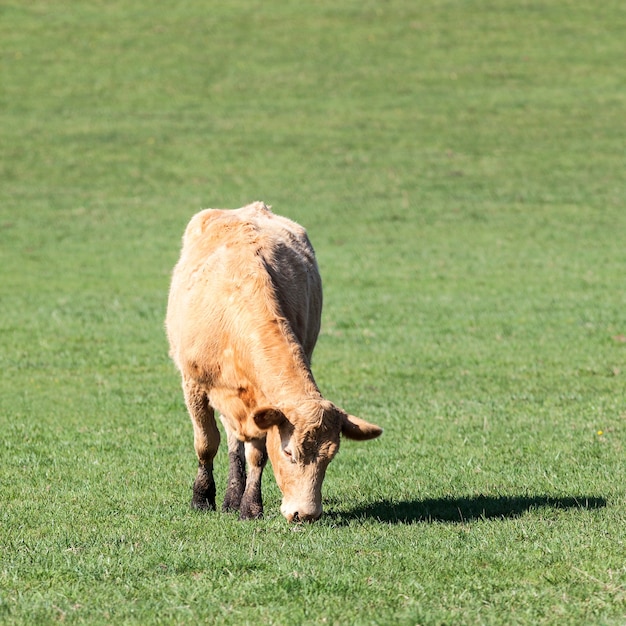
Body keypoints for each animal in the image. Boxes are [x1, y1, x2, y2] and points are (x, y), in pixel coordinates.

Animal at [165, 202, 380, 520]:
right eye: (290, 453)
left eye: (329, 458)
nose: (306, 514)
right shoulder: (193, 383)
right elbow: (206, 443)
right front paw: (201, 498)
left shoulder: (261, 401)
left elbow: (257, 453)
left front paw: (250, 506)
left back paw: (233, 496)